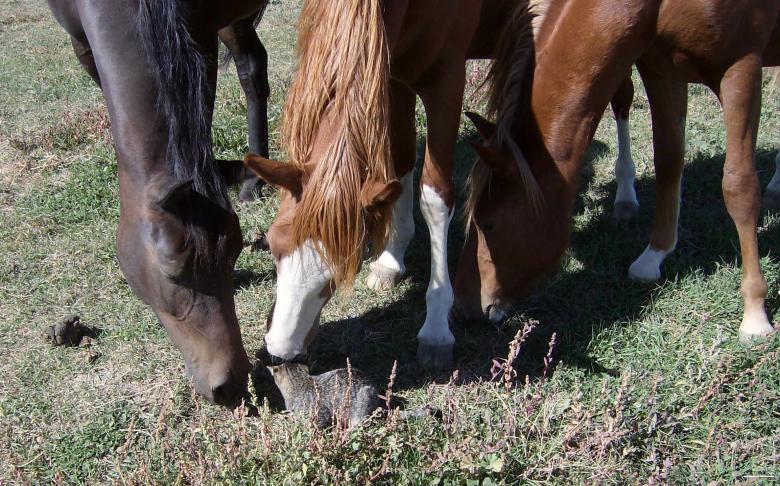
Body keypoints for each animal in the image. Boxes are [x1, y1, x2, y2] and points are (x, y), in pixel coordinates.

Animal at [46, 0, 271, 405]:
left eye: (233, 252)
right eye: (173, 275)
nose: (230, 385)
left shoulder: (197, 34)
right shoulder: (81, 43)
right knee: (251, 65)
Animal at [453, 0, 780, 345]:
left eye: (488, 224)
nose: (463, 305)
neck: (655, 7)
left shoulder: (741, 67)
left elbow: (739, 186)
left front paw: (755, 314)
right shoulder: (662, 68)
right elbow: (668, 159)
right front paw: (654, 255)